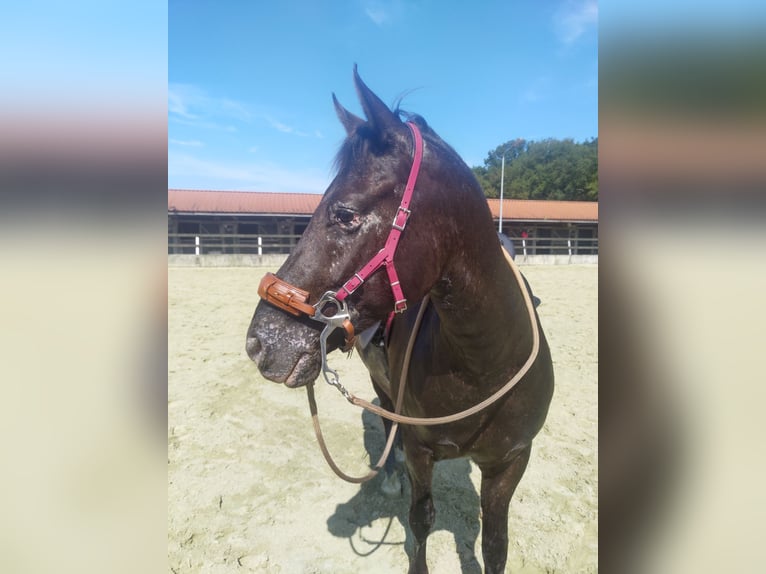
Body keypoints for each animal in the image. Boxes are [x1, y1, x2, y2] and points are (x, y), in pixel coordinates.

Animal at [249, 68, 556, 574]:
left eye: (345, 214)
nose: (260, 342)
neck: (485, 362)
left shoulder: (510, 462)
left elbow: (496, 542)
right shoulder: (419, 448)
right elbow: (421, 518)